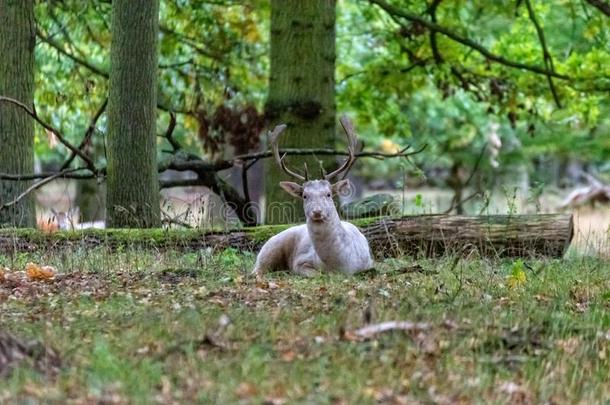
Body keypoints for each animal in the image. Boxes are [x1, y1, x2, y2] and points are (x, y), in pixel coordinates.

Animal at [251, 115, 370, 276]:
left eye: (328, 194)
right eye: (305, 196)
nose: (317, 211)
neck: (340, 264)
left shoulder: (368, 263)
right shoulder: (300, 260)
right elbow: (313, 273)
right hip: (270, 247)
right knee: (257, 270)